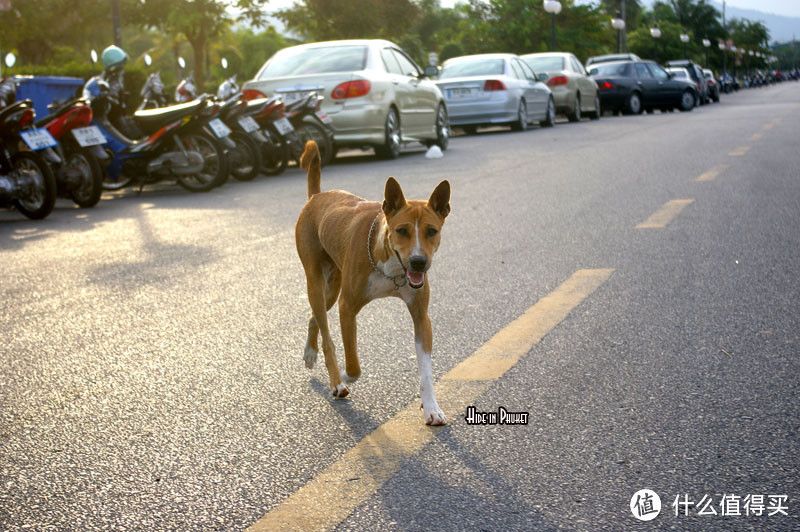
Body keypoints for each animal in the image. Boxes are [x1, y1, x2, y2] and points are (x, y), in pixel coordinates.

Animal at [296, 140, 454, 424]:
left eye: (431, 231)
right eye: (401, 230)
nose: (418, 262)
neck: (392, 268)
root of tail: (316, 196)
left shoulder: (420, 315)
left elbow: (426, 369)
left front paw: (431, 407)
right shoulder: (347, 308)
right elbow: (353, 365)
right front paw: (343, 375)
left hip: (332, 286)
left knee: (315, 316)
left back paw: (310, 351)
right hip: (315, 280)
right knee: (326, 335)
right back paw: (333, 377)